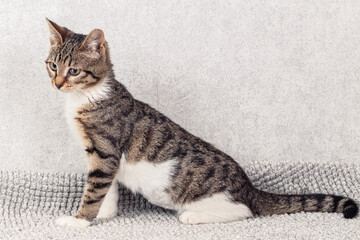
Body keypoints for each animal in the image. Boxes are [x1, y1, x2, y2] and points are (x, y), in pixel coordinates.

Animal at [46, 19, 358, 228]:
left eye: (74, 71)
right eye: (53, 66)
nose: (57, 83)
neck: (86, 96)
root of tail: (249, 187)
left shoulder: (104, 151)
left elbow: (94, 191)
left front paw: (79, 220)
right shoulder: (100, 157)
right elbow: (106, 190)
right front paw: (104, 215)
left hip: (207, 194)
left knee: (245, 210)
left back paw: (193, 216)